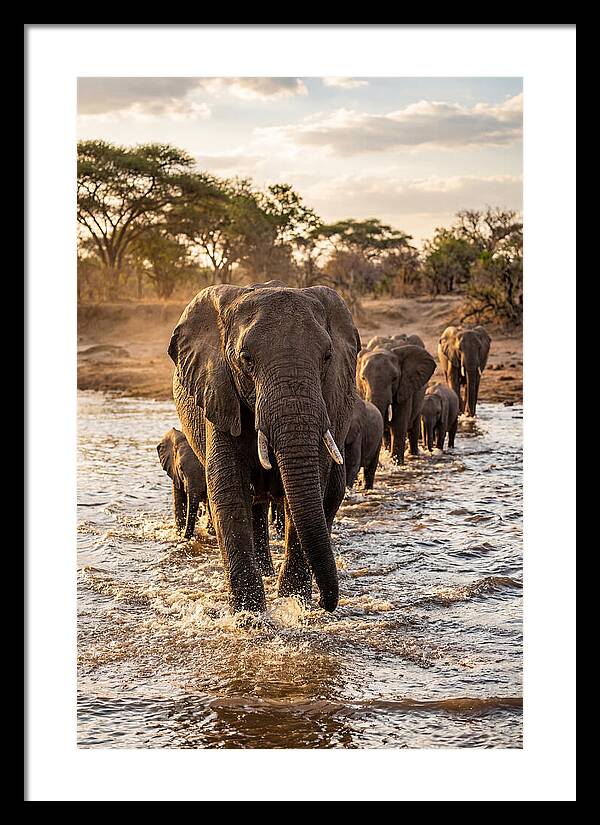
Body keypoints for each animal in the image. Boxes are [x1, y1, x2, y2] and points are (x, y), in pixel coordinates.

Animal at [168, 281, 360, 614]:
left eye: (327, 356)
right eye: (246, 359)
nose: (327, 604)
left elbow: (311, 488)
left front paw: (294, 605)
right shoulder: (219, 392)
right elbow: (229, 490)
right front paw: (250, 617)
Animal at [357, 336, 436, 465]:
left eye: (394, 378)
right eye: (363, 378)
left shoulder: (405, 386)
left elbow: (398, 427)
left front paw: (397, 464)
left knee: (413, 426)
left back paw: (414, 455)